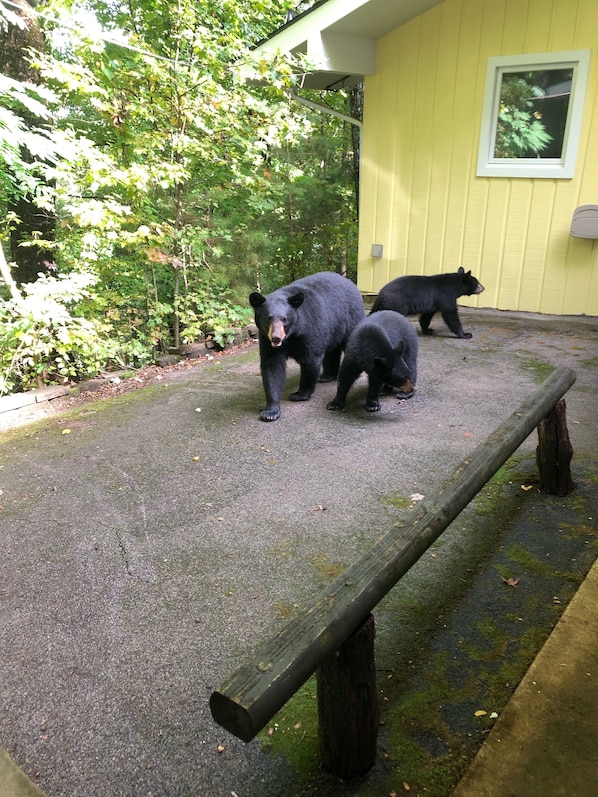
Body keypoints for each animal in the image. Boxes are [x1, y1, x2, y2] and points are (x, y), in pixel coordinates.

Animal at [248, 272, 366, 422]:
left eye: (284, 319)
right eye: (268, 318)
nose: (276, 338)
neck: (291, 336)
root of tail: (351, 283)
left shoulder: (310, 327)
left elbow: (311, 359)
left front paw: (299, 394)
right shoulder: (265, 338)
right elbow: (272, 367)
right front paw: (270, 411)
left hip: (350, 319)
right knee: (331, 351)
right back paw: (327, 376)